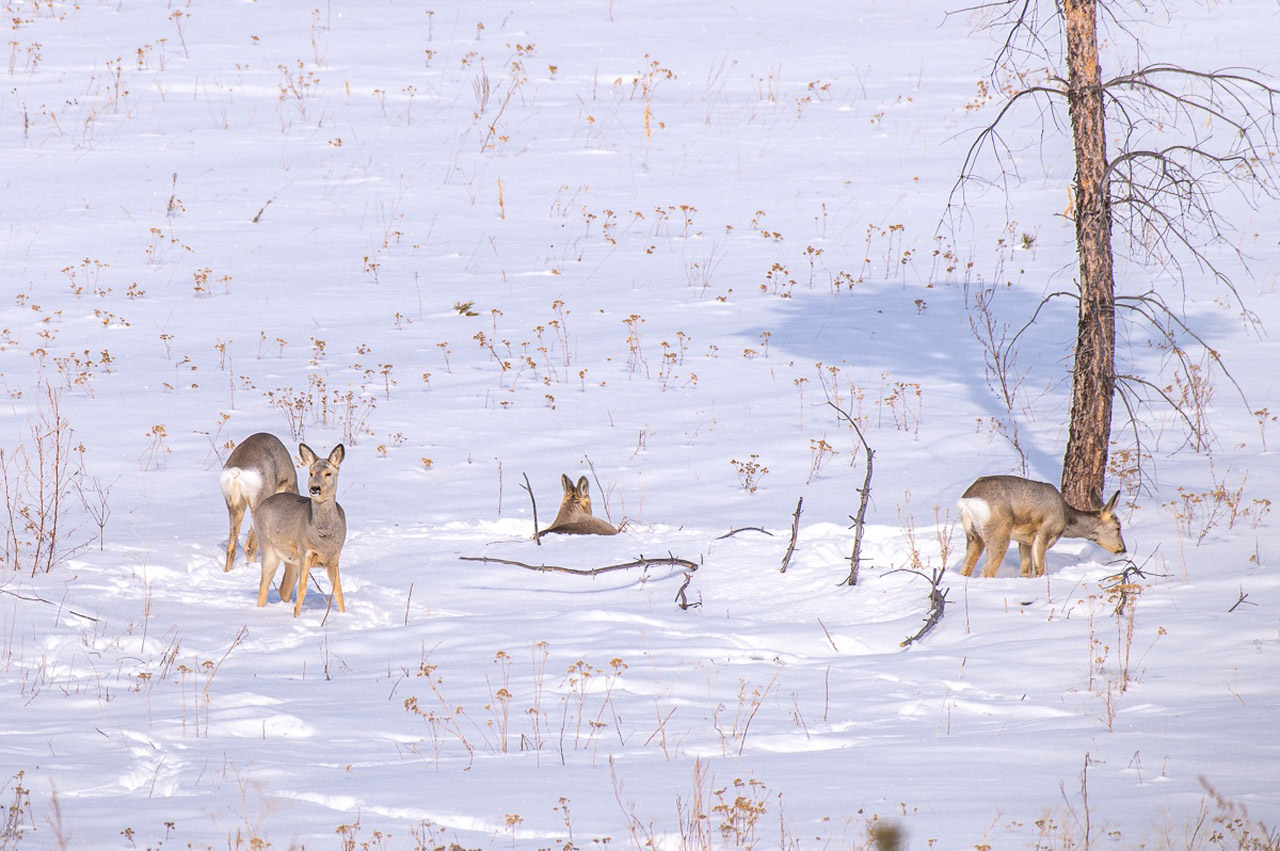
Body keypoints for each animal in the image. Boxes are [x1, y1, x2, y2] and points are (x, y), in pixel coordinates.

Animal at [253, 440, 348, 614]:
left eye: (328, 473)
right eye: (311, 473)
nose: (315, 488)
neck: (323, 535)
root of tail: (260, 506)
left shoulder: (334, 556)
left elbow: (338, 591)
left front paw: (344, 614)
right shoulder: (305, 551)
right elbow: (302, 589)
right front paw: (296, 615)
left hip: (291, 560)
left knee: (284, 588)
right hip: (268, 547)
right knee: (263, 587)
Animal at [957, 470, 1126, 578]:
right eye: (1118, 528)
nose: (1122, 549)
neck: (1065, 517)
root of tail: (967, 501)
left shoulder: (1024, 541)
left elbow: (1025, 571)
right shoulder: (1045, 532)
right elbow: (1039, 570)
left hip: (974, 536)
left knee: (965, 569)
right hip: (999, 532)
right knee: (987, 571)